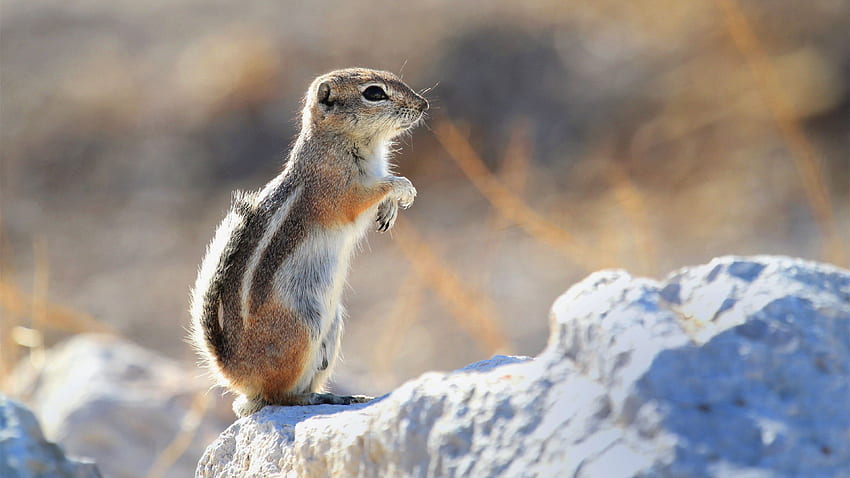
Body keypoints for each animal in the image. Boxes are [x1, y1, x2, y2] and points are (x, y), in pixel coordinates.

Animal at [190, 68, 428, 418]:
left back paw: (337, 396)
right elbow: (376, 189)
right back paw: (315, 399)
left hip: (333, 327)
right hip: (302, 330)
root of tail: (235, 371)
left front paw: (390, 211)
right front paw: (403, 189)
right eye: (374, 93)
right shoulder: (337, 190)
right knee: (277, 396)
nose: (424, 105)